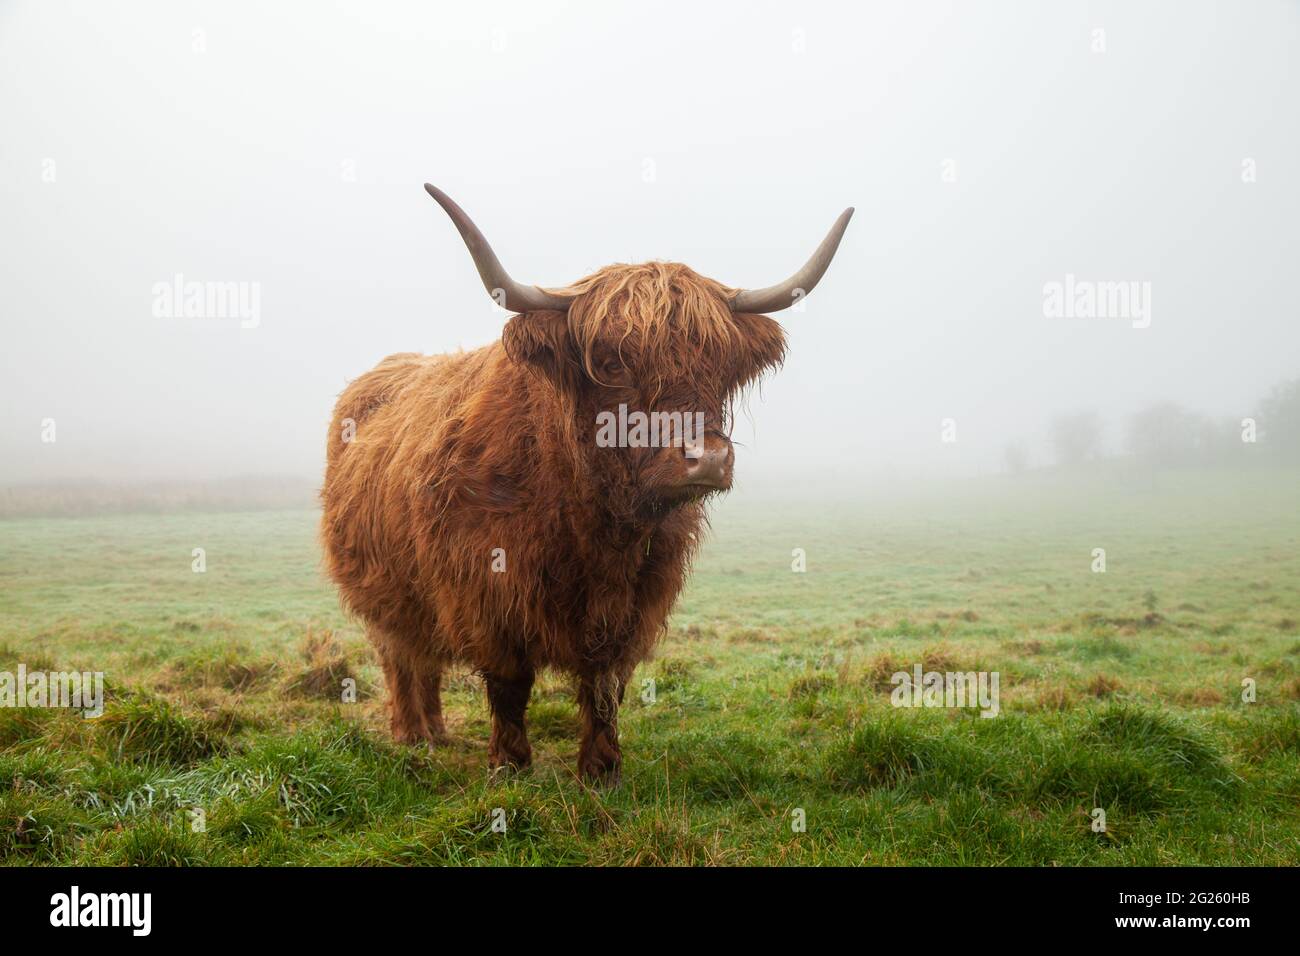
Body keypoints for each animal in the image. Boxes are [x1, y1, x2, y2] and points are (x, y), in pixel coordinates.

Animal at [321, 185, 852, 783]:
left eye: (719, 363)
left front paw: (602, 770)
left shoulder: (637, 596)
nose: (708, 458)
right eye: (613, 362)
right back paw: (413, 734)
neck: (594, 524)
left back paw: (435, 730)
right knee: (402, 655)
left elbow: (605, 685)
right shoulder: (485, 589)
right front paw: (510, 765)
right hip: (381, 589)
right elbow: (510, 684)